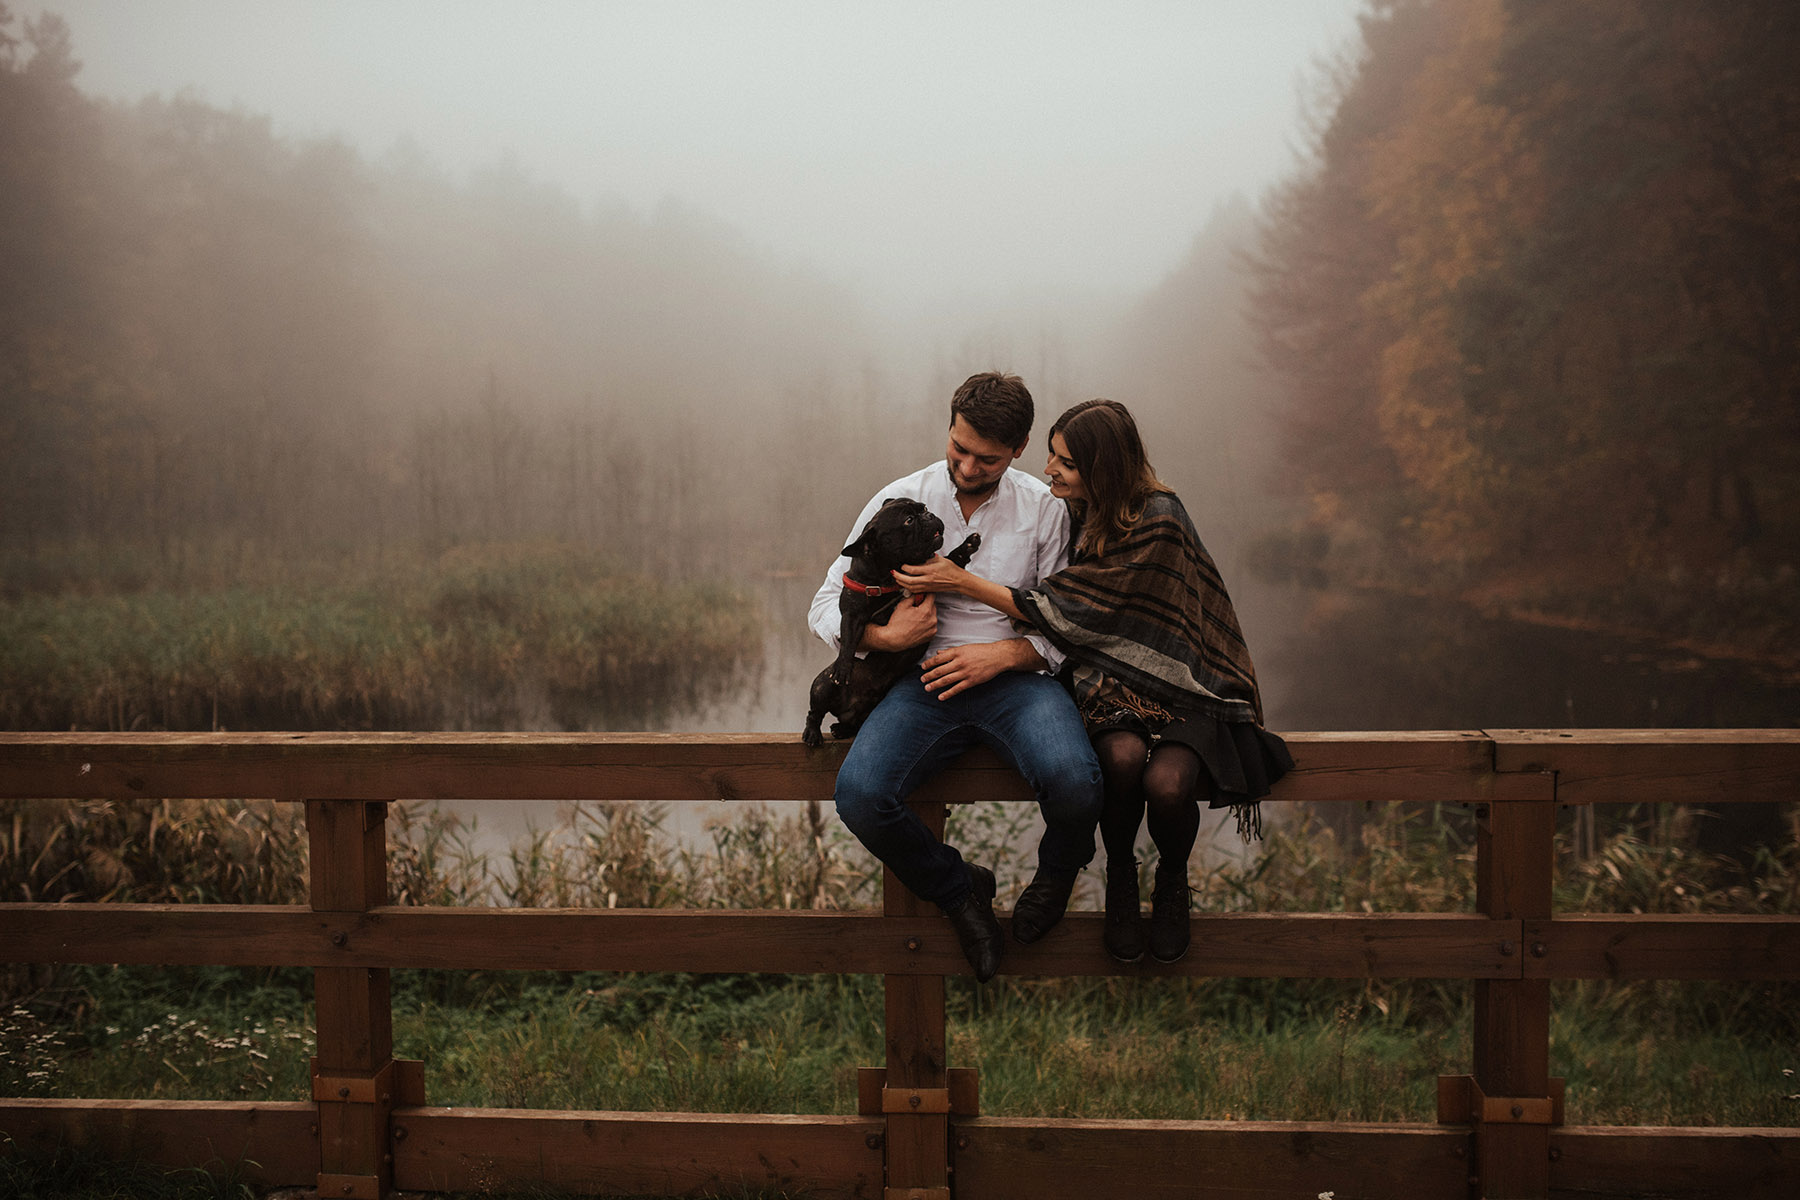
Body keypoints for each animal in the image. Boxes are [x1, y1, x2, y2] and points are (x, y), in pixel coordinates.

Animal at [806, 496, 986, 741]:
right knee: (815, 711)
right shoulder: (852, 614)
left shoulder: (933, 578)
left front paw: (967, 545)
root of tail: (849, 712)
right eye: (908, 520)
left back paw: (842, 729)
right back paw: (813, 733)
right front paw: (843, 667)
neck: (893, 573)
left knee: (852, 723)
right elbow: (849, 639)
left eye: (923, 508)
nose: (929, 515)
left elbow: (951, 559)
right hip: (822, 686)